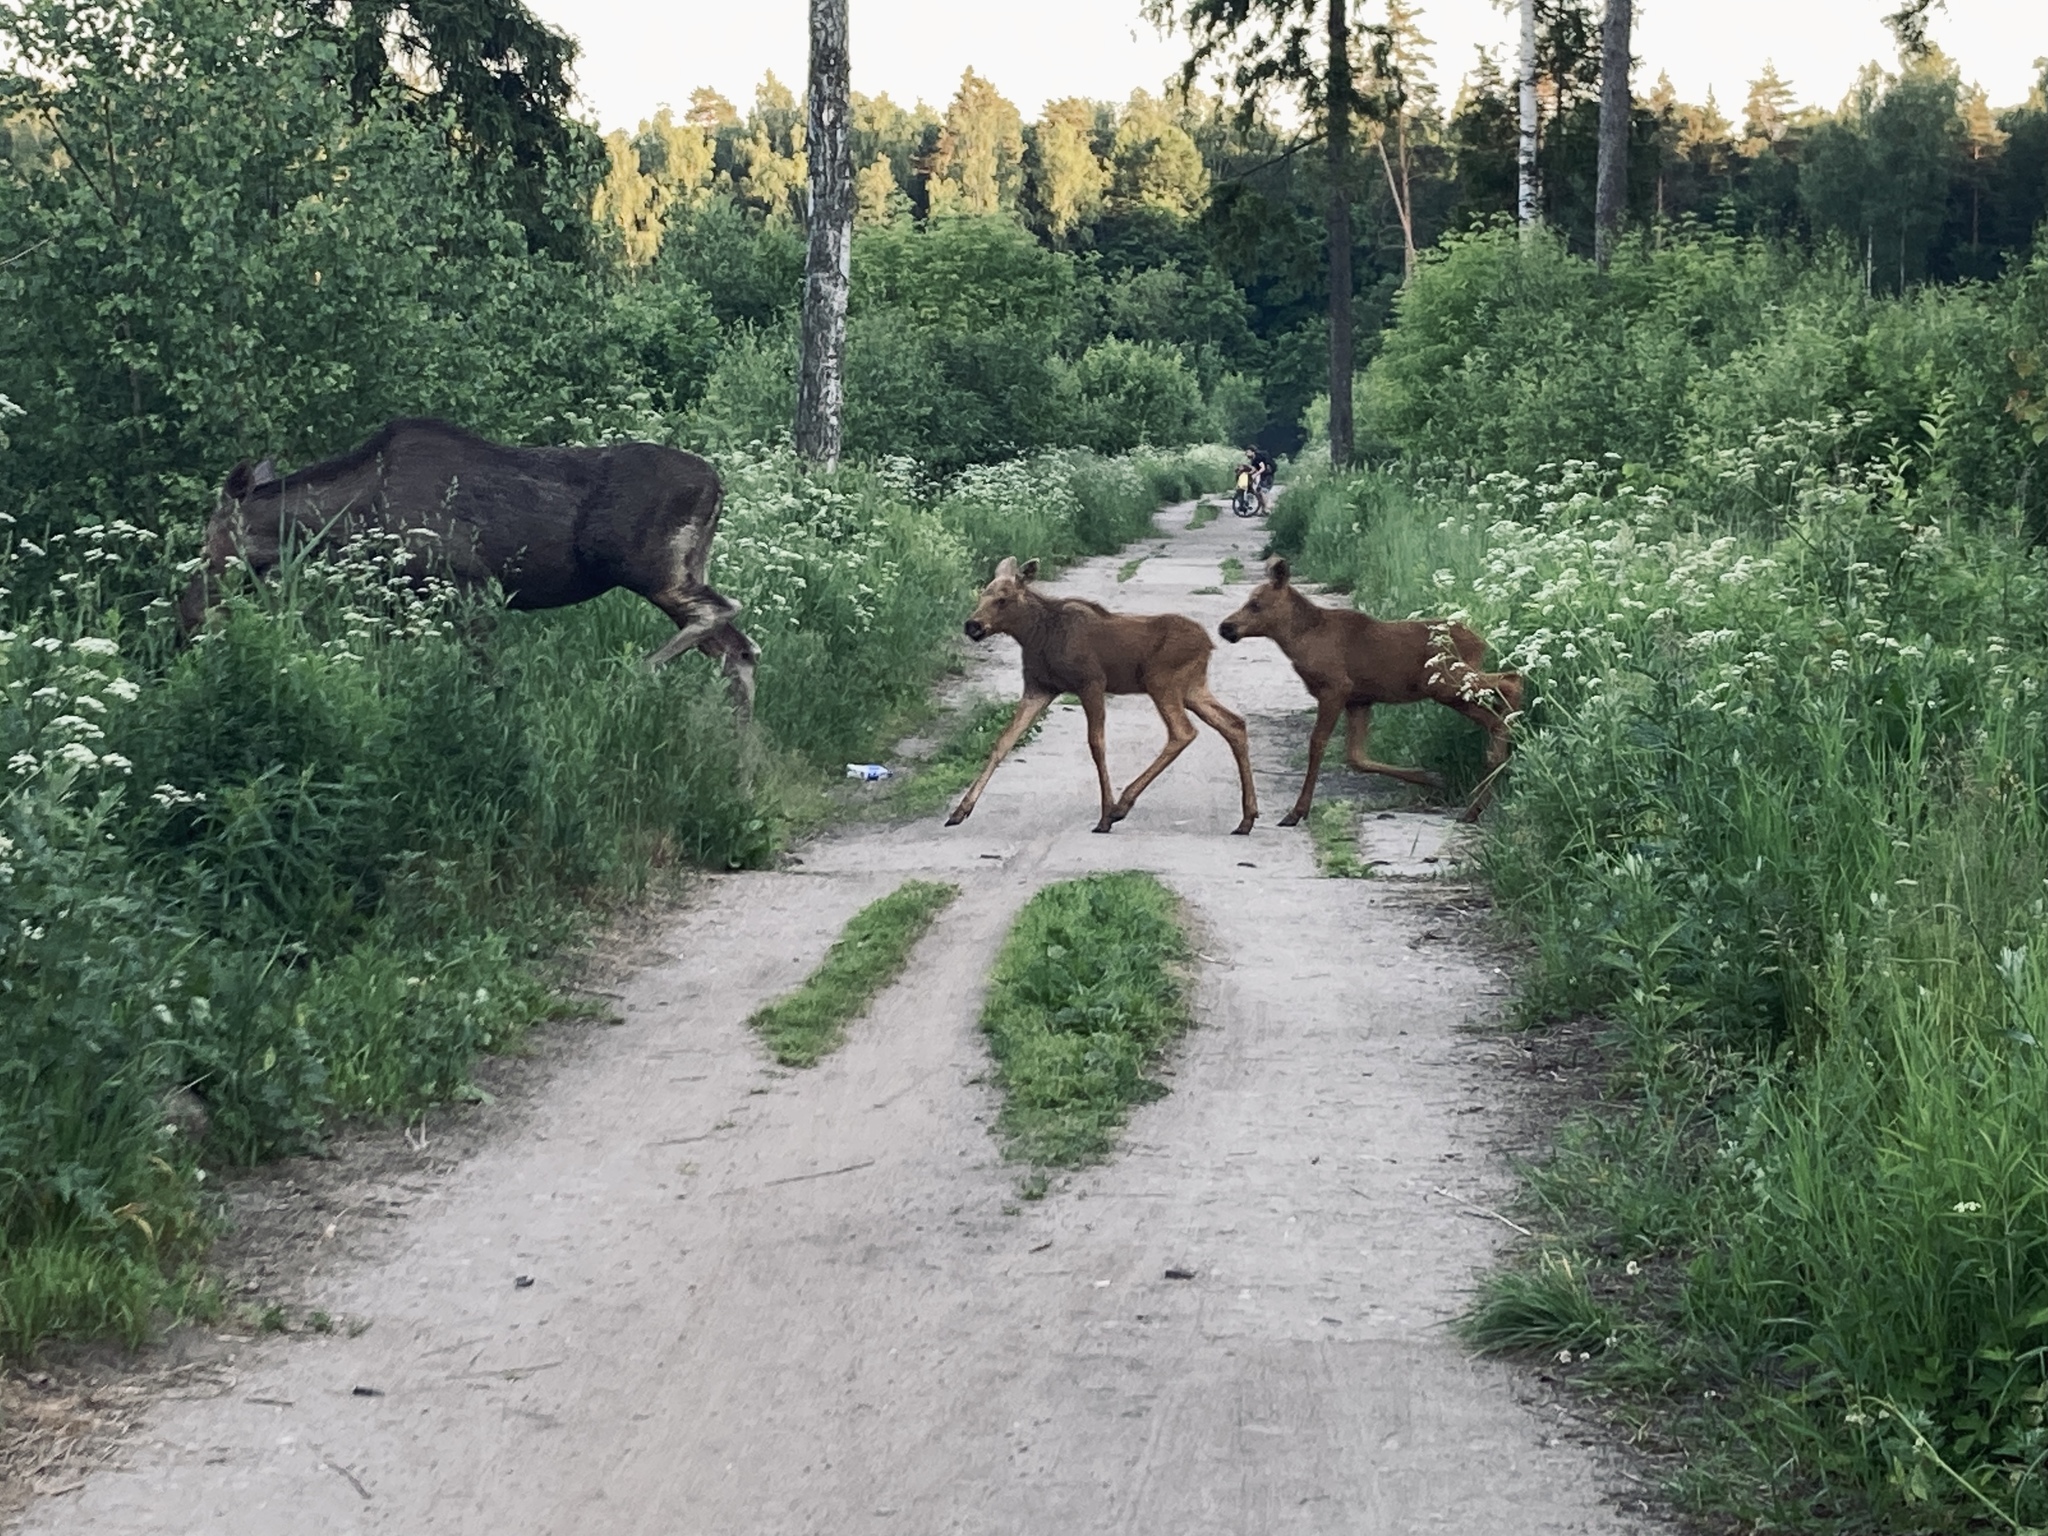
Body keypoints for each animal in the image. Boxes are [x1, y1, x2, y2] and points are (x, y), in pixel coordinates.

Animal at [180, 417, 761, 712]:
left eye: (211, 541)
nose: (188, 615)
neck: (350, 520)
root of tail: (719, 485)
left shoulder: (472, 584)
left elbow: (487, 674)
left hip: (649, 567)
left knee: (722, 615)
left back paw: (633, 675)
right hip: (679, 570)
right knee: (739, 649)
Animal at [946, 561, 1261, 835]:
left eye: (1003, 599)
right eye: (983, 594)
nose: (972, 625)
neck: (1034, 634)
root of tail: (1209, 645)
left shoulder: (1091, 683)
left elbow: (1097, 744)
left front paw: (1105, 814)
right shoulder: (1039, 688)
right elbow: (1003, 742)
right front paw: (960, 811)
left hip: (1162, 682)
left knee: (1183, 732)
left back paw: (1122, 806)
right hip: (1193, 689)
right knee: (1233, 723)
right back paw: (1247, 818)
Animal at [1212, 561, 1523, 831]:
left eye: (1256, 604)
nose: (1225, 627)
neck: (1300, 642)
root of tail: (1481, 641)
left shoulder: (1334, 689)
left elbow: (1317, 745)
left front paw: (1297, 812)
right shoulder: (1359, 699)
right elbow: (1356, 757)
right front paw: (1431, 777)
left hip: (1446, 683)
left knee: (1511, 683)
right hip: (1452, 687)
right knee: (1505, 693)